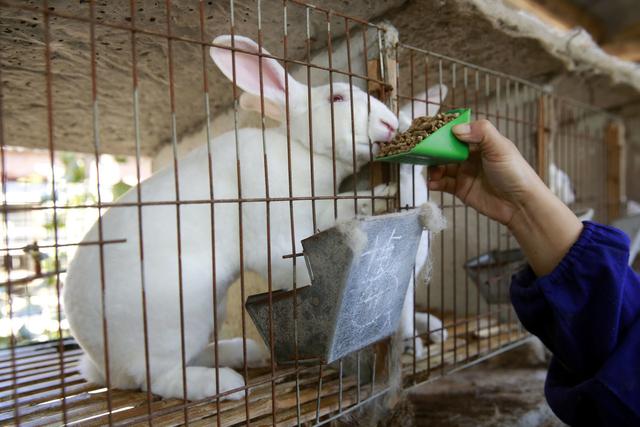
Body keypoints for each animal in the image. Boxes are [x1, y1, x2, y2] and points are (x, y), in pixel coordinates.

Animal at [62, 35, 398, 402]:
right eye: (337, 98)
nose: (392, 124)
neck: (301, 151)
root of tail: (103, 364)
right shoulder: (275, 233)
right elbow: (292, 268)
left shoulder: (320, 208)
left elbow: (345, 207)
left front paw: (383, 193)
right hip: (179, 318)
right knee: (159, 378)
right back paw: (225, 384)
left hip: (211, 312)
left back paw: (244, 352)